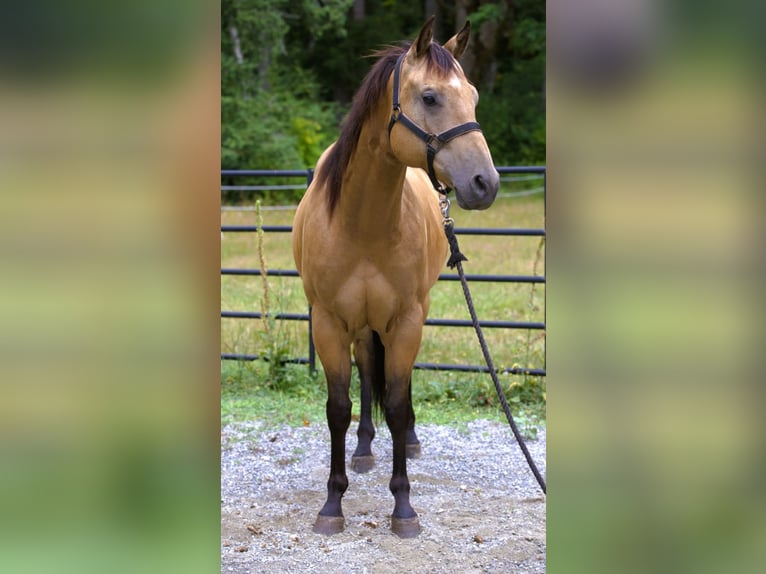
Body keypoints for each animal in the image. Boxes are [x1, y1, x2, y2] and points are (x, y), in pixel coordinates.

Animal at [292, 16, 499, 538]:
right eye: (429, 97)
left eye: (473, 95)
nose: (485, 183)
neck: (362, 224)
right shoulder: (328, 322)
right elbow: (338, 408)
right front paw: (332, 503)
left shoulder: (406, 320)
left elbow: (401, 402)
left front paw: (403, 506)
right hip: (361, 323)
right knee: (368, 372)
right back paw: (365, 448)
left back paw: (407, 442)